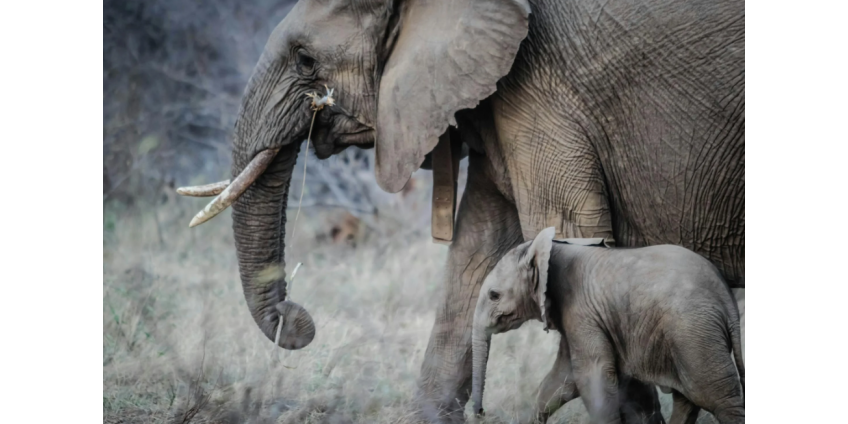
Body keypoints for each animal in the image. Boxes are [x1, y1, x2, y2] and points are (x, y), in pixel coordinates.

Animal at [470, 228, 745, 424]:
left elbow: (593, 375)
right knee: (687, 398)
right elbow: (562, 379)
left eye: (494, 295)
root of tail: (726, 298)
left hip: (693, 332)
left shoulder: (581, 309)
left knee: (716, 397)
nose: (481, 412)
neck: (551, 248)